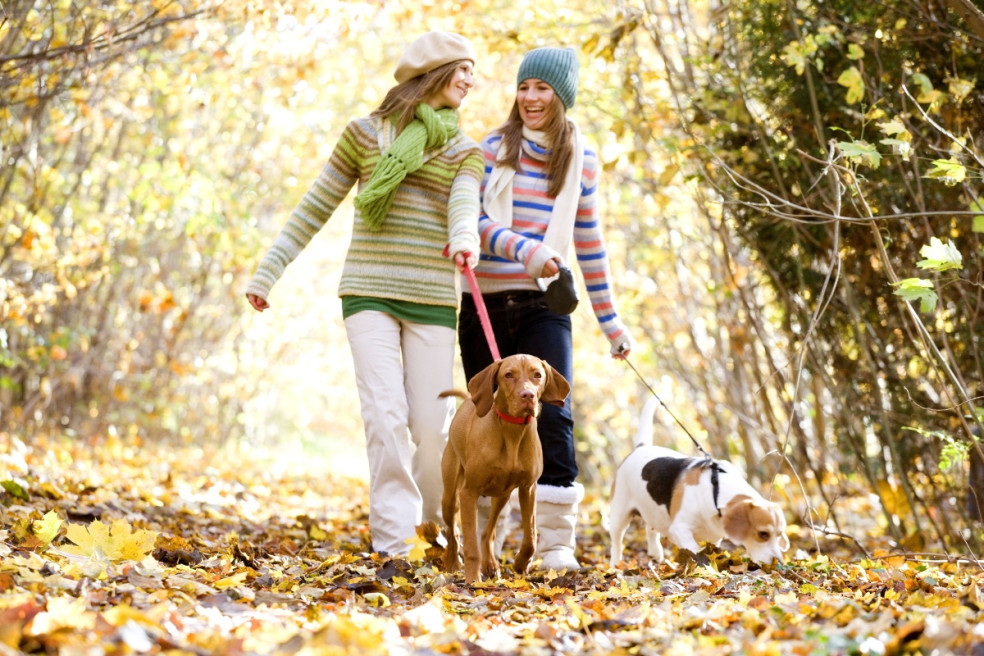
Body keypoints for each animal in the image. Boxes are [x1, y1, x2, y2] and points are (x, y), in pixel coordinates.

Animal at [444, 356, 572, 580]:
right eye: (508, 375)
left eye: (537, 375)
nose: (528, 395)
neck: (513, 430)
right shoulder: (468, 493)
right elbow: (471, 547)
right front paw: (473, 580)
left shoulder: (528, 489)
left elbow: (531, 538)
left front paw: (521, 564)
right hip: (451, 497)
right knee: (453, 532)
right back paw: (452, 563)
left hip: (502, 495)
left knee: (487, 532)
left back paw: (490, 564)